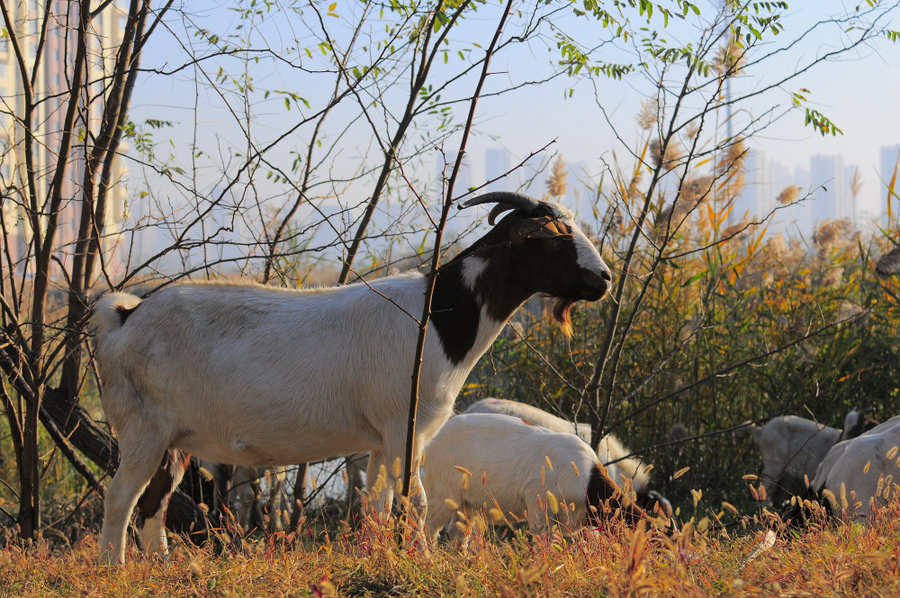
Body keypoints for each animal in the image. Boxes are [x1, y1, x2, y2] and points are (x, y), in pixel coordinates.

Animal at [91, 193, 612, 568]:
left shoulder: (380, 440)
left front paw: (379, 560)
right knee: (119, 499)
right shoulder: (406, 426)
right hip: (142, 429)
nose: (604, 278)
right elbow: (414, 502)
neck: (439, 318)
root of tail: (125, 314)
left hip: (174, 439)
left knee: (153, 504)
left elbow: (376, 508)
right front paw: (424, 562)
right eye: (554, 236)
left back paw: (163, 569)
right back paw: (114, 570)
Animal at [422, 414, 660, 548]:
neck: (588, 480)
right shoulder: (538, 503)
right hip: (442, 495)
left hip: (466, 504)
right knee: (428, 529)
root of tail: (432, 442)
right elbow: (544, 544)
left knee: (456, 536)